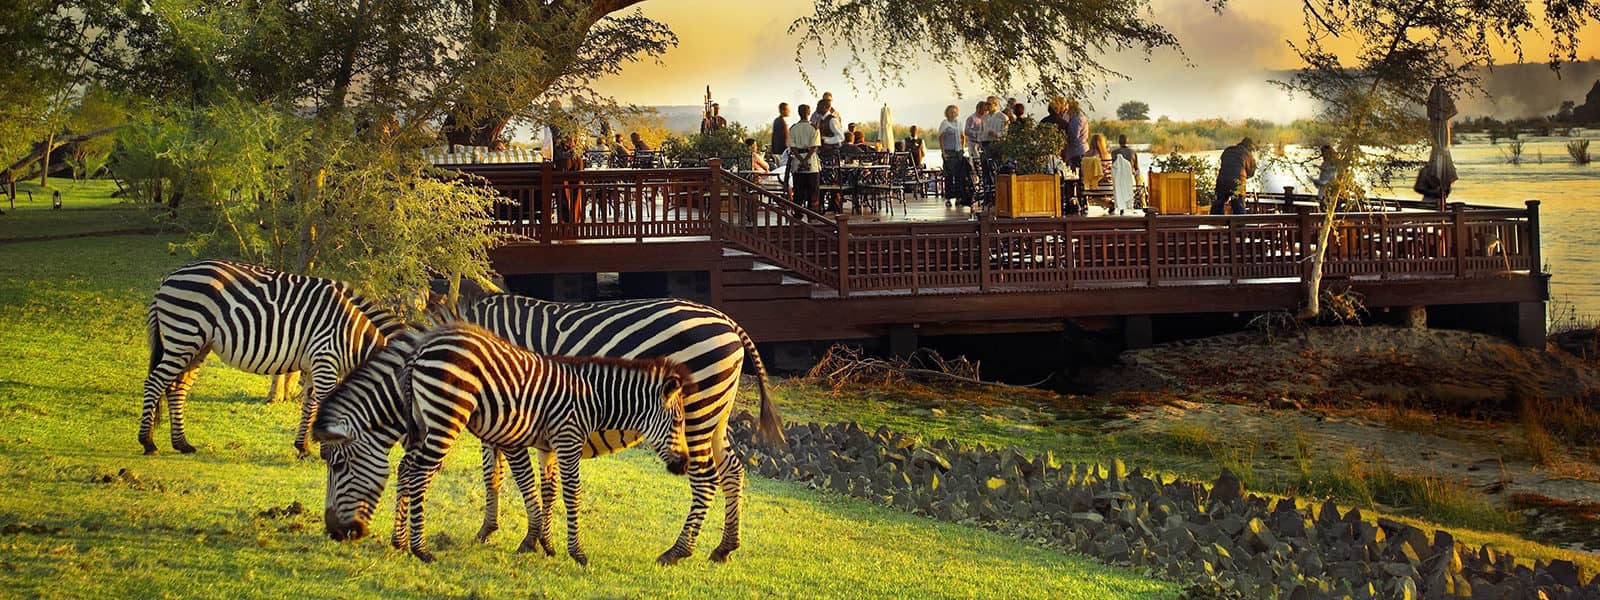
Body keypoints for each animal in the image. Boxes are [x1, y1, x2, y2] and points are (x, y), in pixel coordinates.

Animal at [141, 259, 404, 456]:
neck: (353, 335)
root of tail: (169, 278)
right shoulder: (325, 359)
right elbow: (324, 405)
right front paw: (326, 451)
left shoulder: (314, 365)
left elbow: (309, 403)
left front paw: (303, 447)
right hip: (183, 336)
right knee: (154, 383)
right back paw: (148, 443)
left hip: (198, 345)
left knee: (177, 388)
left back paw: (182, 444)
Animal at [323, 322, 692, 564]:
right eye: (677, 423)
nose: (683, 465)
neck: (591, 398)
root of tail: (421, 351)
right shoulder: (566, 439)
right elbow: (568, 493)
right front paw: (576, 552)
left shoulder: (547, 444)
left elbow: (545, 489)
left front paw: (545, 544)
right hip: (446, 416)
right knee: (418, 474)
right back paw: (420, 548)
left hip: (430, 421)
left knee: (409, 470)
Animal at [457, 294, 785, 564]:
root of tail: (728, 321)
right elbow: (515, 479)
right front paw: (517, 535)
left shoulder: (512, 418)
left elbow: (512, 479)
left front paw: (521, 538)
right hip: (715, 414)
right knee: (733, 470)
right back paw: (724, 547)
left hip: (696, 411)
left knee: (706, 479)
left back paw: (676, 552)